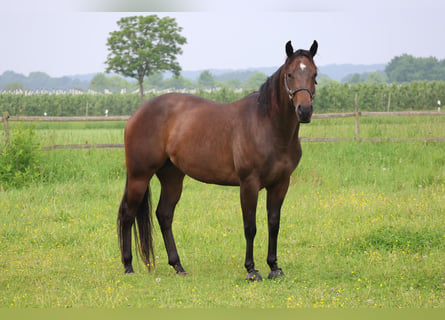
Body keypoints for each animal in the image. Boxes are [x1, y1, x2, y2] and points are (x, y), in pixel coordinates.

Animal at [118, 40, 318, 280]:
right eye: (290, 74)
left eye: (315, 74)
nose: (304, 110)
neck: (267, 125)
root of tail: (137, 114)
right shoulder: (249, 184)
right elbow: (250, 227)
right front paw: (251, 270)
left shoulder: (280, 184)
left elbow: (274, 224)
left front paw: (274, 267)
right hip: (139, 176)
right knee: (127, 214)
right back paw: (128, 267)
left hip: (172, 177)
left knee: (164, 215)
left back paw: (178, 266)